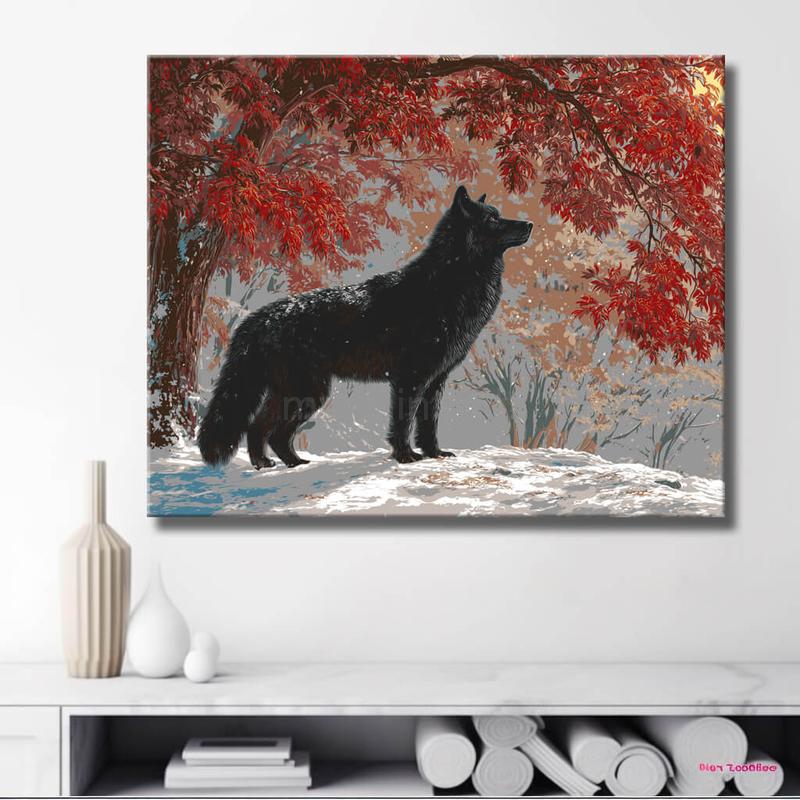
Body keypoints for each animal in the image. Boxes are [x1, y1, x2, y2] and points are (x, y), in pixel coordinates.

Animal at [198, 186, 532, 468]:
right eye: (492, 219)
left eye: (499, 214)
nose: (529, 224)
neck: (449, 282)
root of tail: (257, 317)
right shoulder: (410, 379)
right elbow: (403, 422)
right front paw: (405, 456)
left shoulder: (435, 382)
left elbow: (428, 424)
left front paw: (435, 453)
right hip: (308, 393)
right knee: (268, 430)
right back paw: (279, 464)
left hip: (295, 393)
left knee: (261, 428)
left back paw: (279, 464)